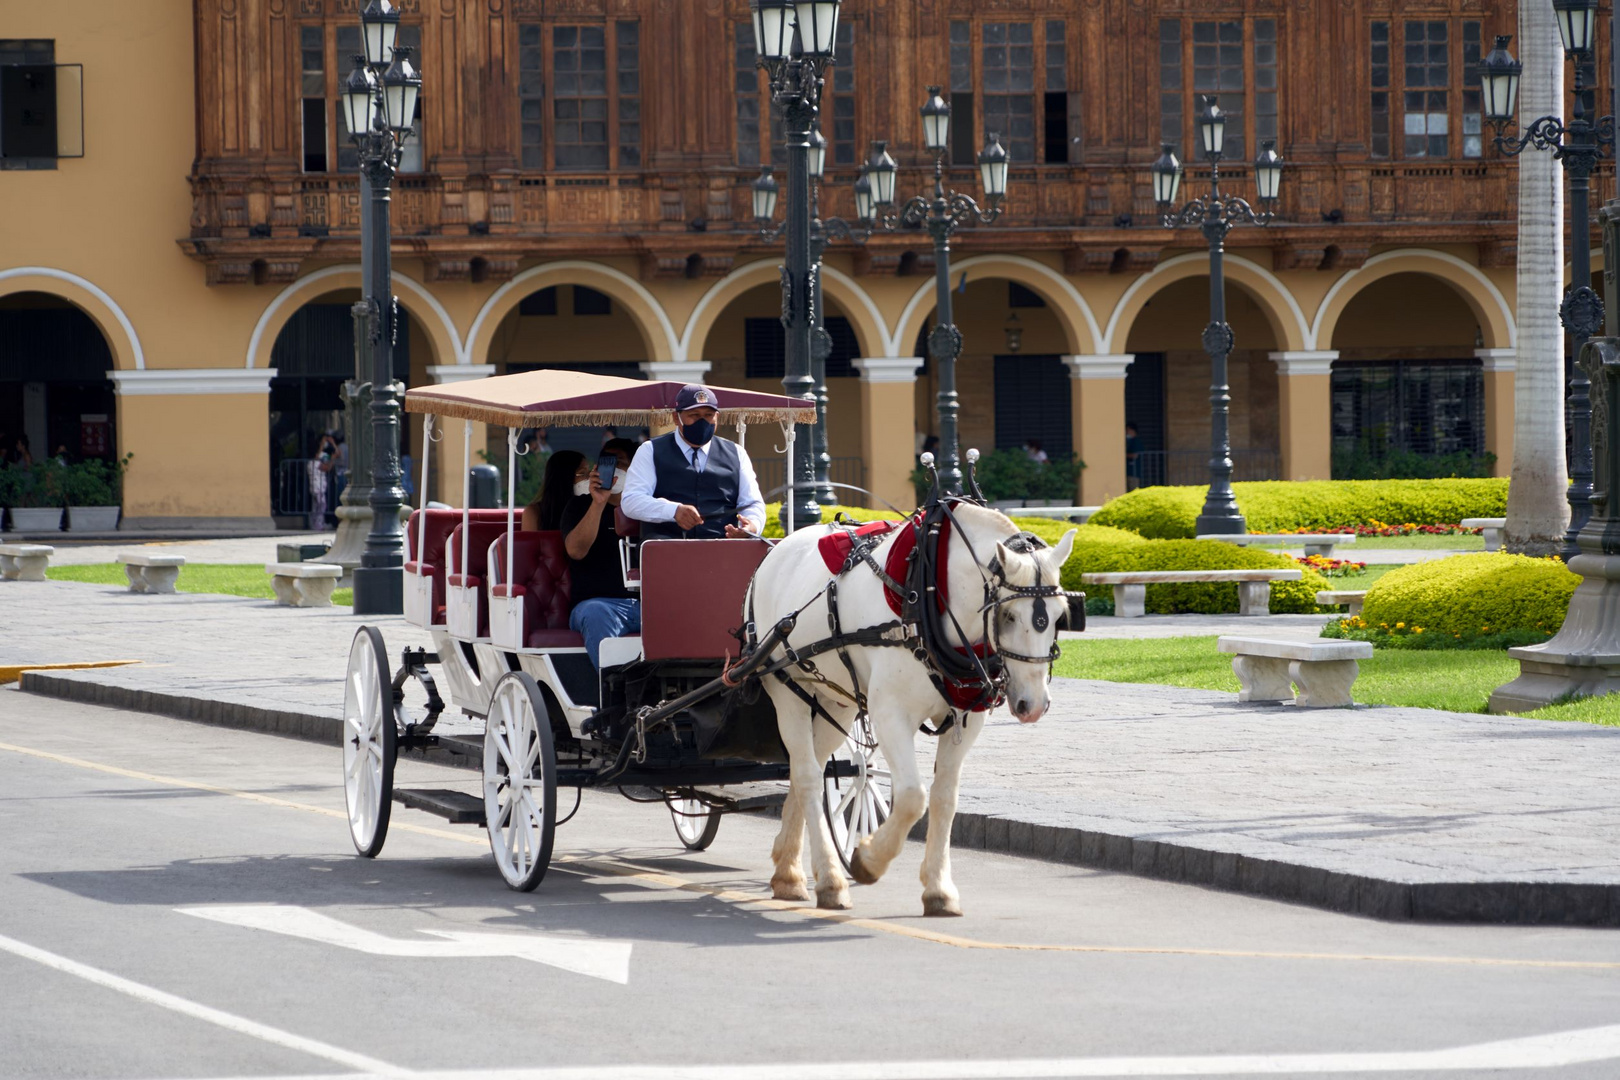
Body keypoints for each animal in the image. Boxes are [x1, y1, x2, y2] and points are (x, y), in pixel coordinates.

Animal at [745, 501, 1075, 919]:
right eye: (1009, 616)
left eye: (1059, 614)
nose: (1032, 705)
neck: (930, 597)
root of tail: (775, 552)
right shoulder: (890, 713)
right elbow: (912, 797)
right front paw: (868, 860)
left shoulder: (967, 720)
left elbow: (944, 798)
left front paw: (938, 889)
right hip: (785, 687)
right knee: (806, 776)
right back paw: (831, 881)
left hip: (837, 700)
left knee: (810, 769)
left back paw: (788, 870)